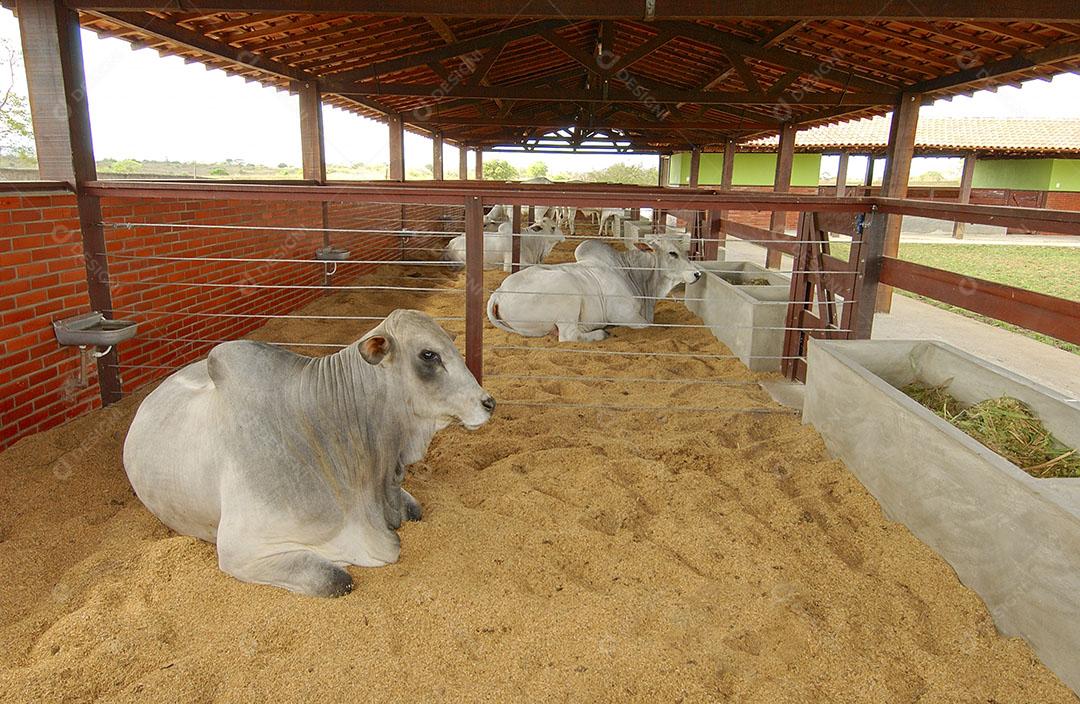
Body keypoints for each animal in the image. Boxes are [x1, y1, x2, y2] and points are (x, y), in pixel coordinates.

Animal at [488, 237, 699, 343]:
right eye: (672, 253)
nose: (697, 274)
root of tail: (499, 292)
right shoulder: (625, 315)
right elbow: (649, 326)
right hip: (567, 288)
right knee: (568, 335)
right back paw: (600, 333)